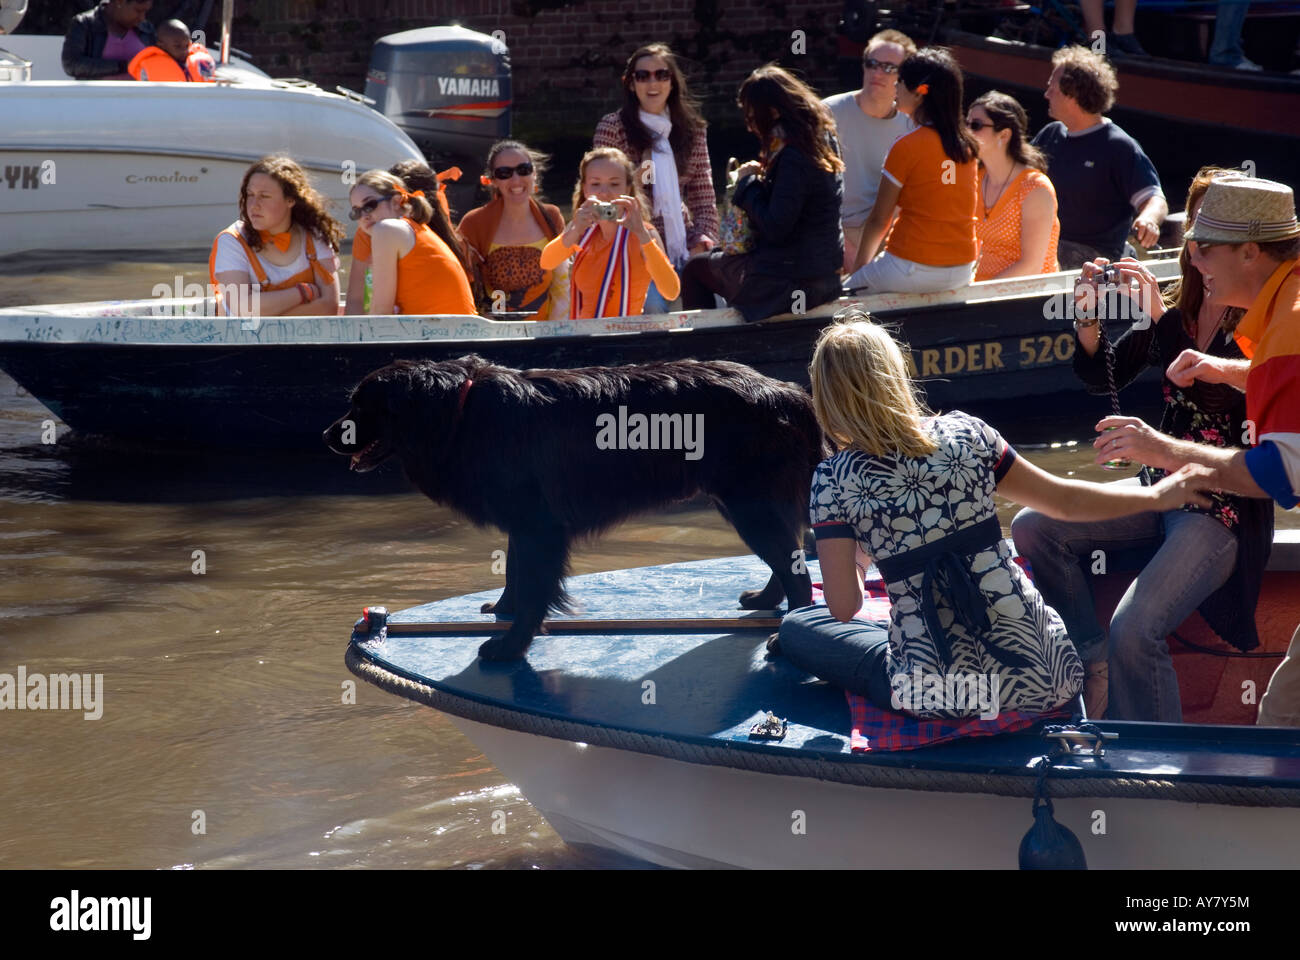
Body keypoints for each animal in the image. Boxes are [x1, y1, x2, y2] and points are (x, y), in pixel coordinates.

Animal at [323, 356, 821, 660]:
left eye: (361, 406)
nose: (327, 436)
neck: (457, 411)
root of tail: (794, 393)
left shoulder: (539, 524)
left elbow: (533, 587)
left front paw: (510, 648)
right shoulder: (523, 522)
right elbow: (514, 573)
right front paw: (503, 610)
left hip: (748, 502)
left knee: (797, 571)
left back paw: (784, 639)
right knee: (790, 557)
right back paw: (767, 600)